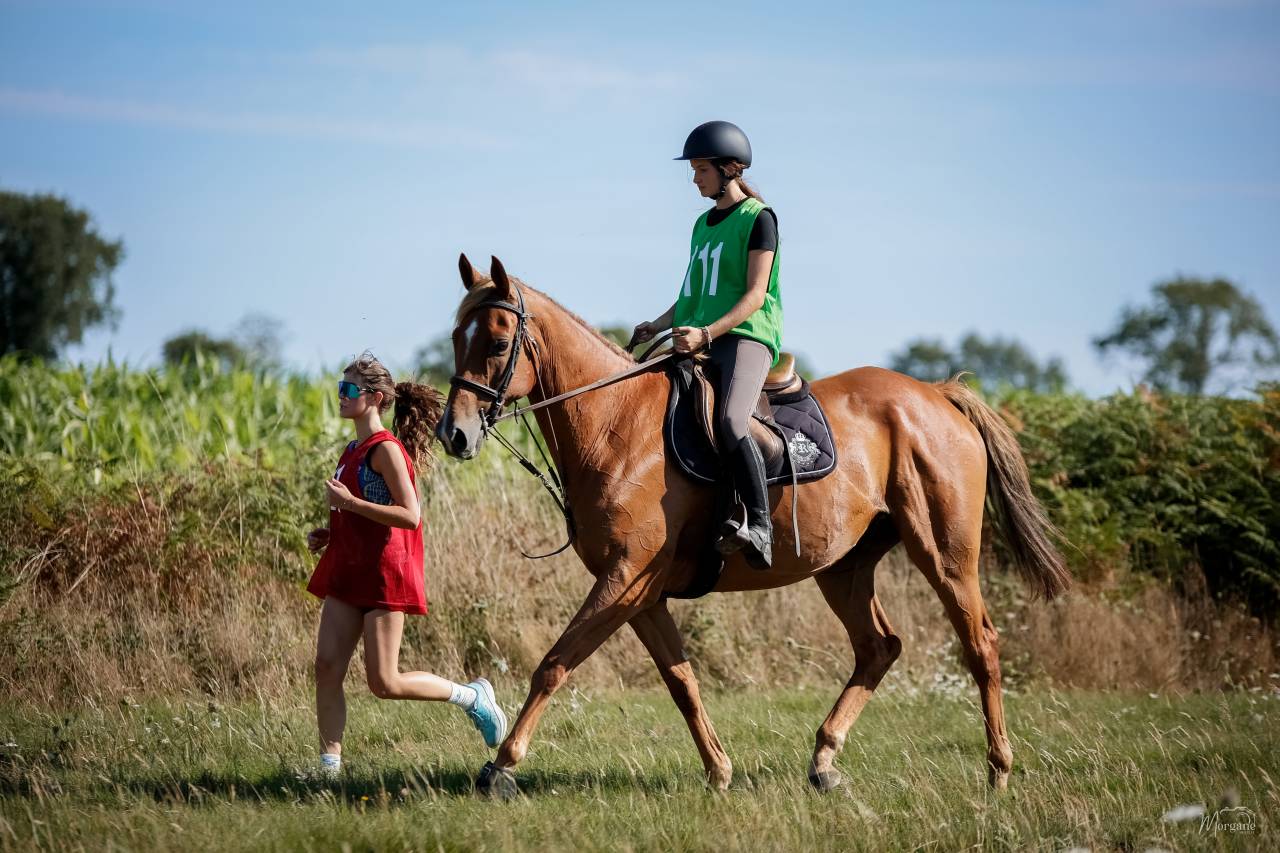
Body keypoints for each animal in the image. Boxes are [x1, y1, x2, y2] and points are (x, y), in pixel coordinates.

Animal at [436, 254, 1071, 799]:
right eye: (454, 338)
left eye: (497, 343)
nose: (454, 435)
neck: (617, 423)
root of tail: (937, 395)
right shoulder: (641, 593)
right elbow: (681, 681)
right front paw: (718, 770)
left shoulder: (625, 579)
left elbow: (554, 665)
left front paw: (499, 766)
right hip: (844, 566)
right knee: (878, 647)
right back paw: (824, 760)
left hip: (944, 553)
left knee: (979, 644)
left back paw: (998, 770)